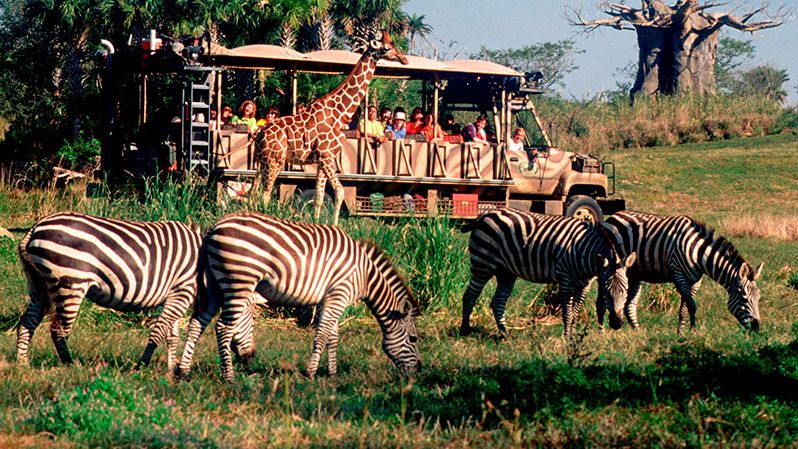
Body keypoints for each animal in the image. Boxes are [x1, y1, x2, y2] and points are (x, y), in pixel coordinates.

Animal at [17, 212, 202, 370]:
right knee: (58, 330)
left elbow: (172, 336)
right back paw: (70, 364)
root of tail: (35, 227)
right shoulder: (182, 291)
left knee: (27, 322)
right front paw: (142, 367)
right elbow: (160, 331)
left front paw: (169, 370)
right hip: (71, 283)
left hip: (38, 285)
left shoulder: (174, 295)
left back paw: (23, 363)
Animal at [177, 212, 422, 380]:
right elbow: (322, 335)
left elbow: (333, 336)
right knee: (223, 328)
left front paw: (332, 374)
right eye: (413, 339)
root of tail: (214, 227)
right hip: (239, 281)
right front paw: (311, 372)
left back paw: (183, 371)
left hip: (213, 286)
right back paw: (229, 377)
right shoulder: (339, 294)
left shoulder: (329, 298)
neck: (365, 275)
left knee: (197, 323)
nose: (419, 370)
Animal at [258, 29, 410, 224]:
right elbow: (339, 192)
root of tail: (260, 133)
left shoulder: (322, 160)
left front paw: (316, 224)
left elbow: (319, 195)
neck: (339, 114)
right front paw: (334, 226)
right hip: (275, 160)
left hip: (261, 161)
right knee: (266, 193)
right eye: (386, 48)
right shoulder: (327, 156)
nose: (404, 59)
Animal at [460, 208, 640, 338]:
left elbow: (576, 311)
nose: (617, 324)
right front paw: (567, 337)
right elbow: (568, 311)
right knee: (469, 296)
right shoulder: (565, 278)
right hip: (482, 264)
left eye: (625, 291)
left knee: (497, 302)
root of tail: (484, 215)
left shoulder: (585, 284)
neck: (587, 253)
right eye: (606, 292)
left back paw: (505, 334)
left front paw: (575, 336)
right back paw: (465, 331)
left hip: (506, 272)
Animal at [604, 210, 764, 332]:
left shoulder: (696, 280)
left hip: (634, 274)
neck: (699, 254)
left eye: (758, 297)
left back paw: (638, 333)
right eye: (744, 297)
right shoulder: (678, 274)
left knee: (629, 306)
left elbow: (684, 308)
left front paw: (681, 334)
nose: (757, 327)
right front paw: (693, 331)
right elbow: (692, 306)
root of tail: (614, 215)